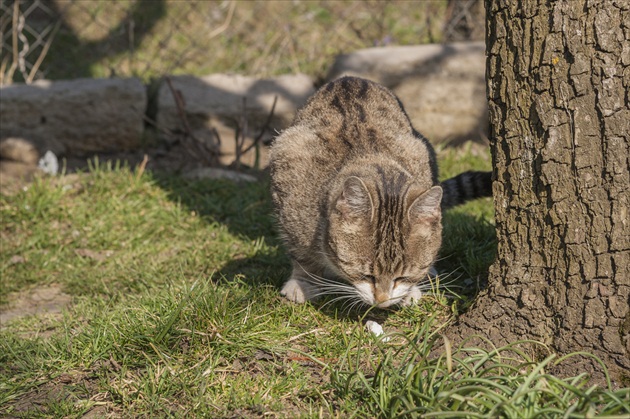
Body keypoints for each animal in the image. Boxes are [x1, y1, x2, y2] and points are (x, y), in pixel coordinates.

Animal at [270, 77, 492, 310]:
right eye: (366, 275)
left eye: (403, 277)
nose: (382, 301)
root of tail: (349, 78)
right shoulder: (289, 185)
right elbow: (302, 255)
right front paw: (303, 282)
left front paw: (412, 289)